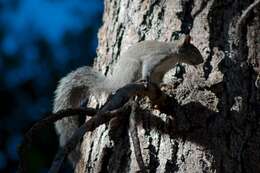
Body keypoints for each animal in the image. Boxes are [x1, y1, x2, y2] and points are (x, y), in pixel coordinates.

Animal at [52, 34, 203, 166]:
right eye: (194, 50)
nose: (202, 61)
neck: (173, 55)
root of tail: (116, 80)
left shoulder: (160, 72)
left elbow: (159, 81)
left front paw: (166, 85)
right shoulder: (155, 58)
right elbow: (148, 69)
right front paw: (146, 80)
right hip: (133, 67)